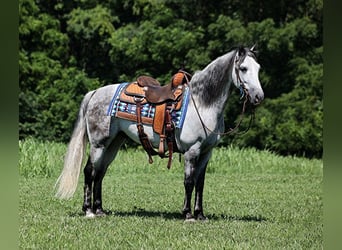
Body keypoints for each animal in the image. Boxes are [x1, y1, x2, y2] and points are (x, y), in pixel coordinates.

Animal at [56, 45, 264, 221]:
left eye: (259, 68)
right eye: (243, 68)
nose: (258, 97)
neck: (202, 104)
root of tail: (95, 93)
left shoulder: (206, 152)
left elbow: (200, 184)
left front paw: (200, 214)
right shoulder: (192, 151)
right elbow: (189, 182)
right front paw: (188, 214)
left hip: (113, 144)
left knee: (100, 172)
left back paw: (99, 210)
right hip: (99, 144)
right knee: (89, 171)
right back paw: (88, 211)